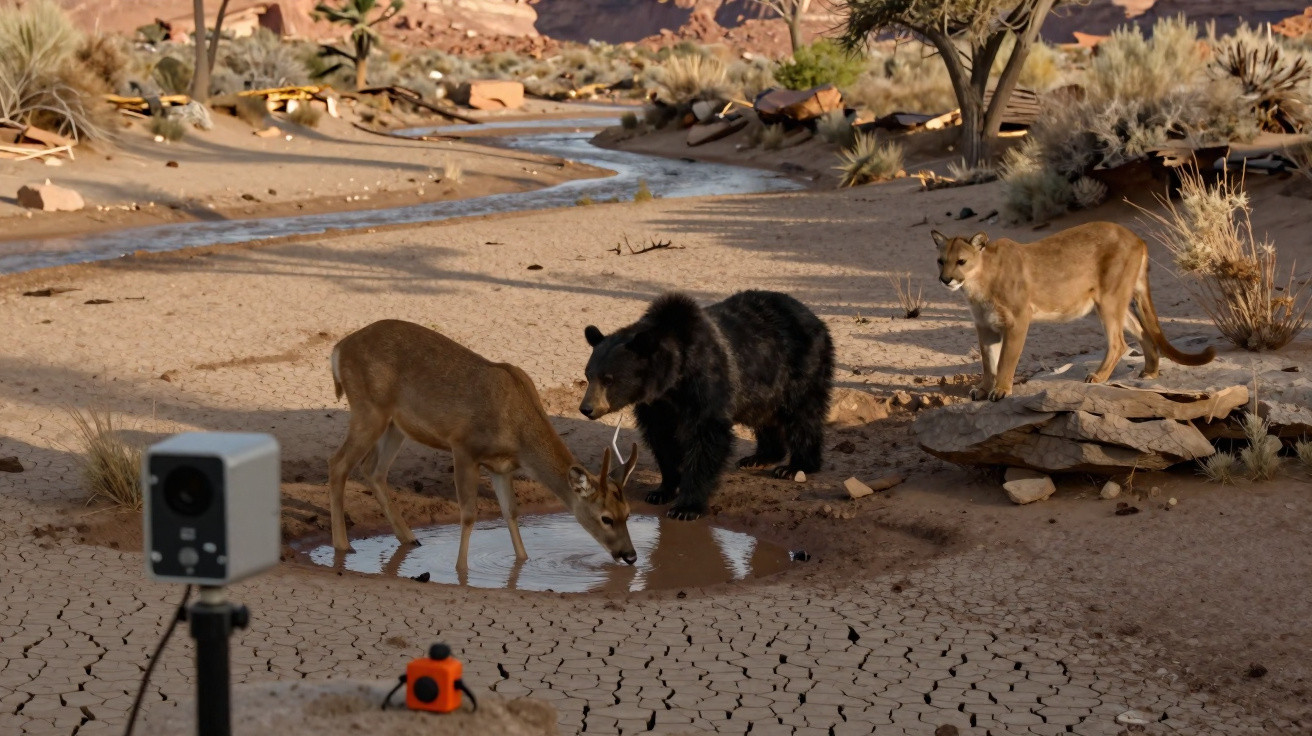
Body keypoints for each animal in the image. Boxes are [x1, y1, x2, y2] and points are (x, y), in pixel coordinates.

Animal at [328, 319, 638, 571]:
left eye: (628, 513)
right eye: (606, 518)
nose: (631, 555)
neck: (517, 433)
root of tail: (339, 348)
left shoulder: (502, 467)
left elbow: (511, 512)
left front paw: (523, 561)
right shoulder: (464, 446)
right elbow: (468, 514)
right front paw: (461, 569)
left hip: (395, 424)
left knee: (373, 470)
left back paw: (410, 539)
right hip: (369, 408)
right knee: (339, 464)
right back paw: (343, 545)